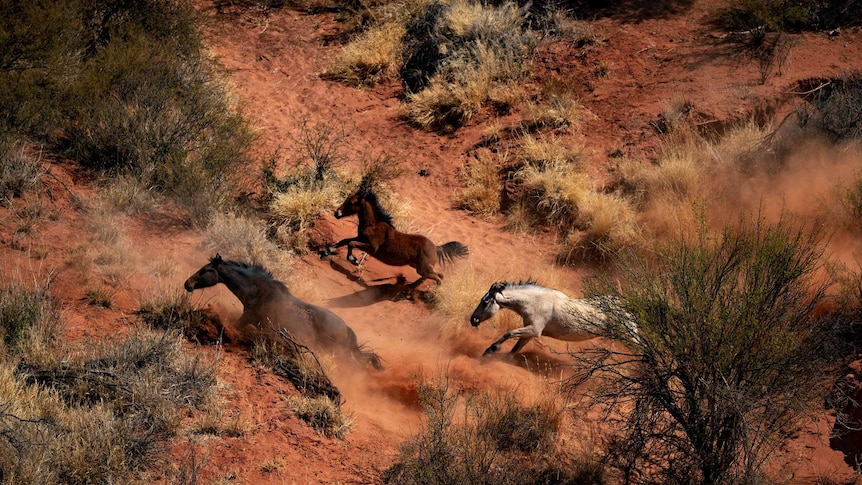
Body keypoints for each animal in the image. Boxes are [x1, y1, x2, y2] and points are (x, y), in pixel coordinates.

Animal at [184, 255, 384, 368]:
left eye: (206, 270)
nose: (188, 284)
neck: (258, 290)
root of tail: (346, 330)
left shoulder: (246, 318)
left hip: (339, 354)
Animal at [322, 187, 472, 290]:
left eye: (351, 202)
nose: (336, 213)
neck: (373, 224)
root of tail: (436, 247)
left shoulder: (372, 248)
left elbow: (351, 244)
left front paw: (354, 260)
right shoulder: (360, 238)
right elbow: (344, 241)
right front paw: (326, 252)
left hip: (422, 268)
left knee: (438, 278)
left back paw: (430, 293)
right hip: (418, 266)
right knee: (436, 275)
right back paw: (410, 288)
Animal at [470, 280, 636, 356]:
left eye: (485, 302)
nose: (473, 320)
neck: (535, 302)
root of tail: (626, 305)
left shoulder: (534, 330)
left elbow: (508, 333)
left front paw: (490, 350)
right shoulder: (529, 333)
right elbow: (515, 349)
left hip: (629, 337)